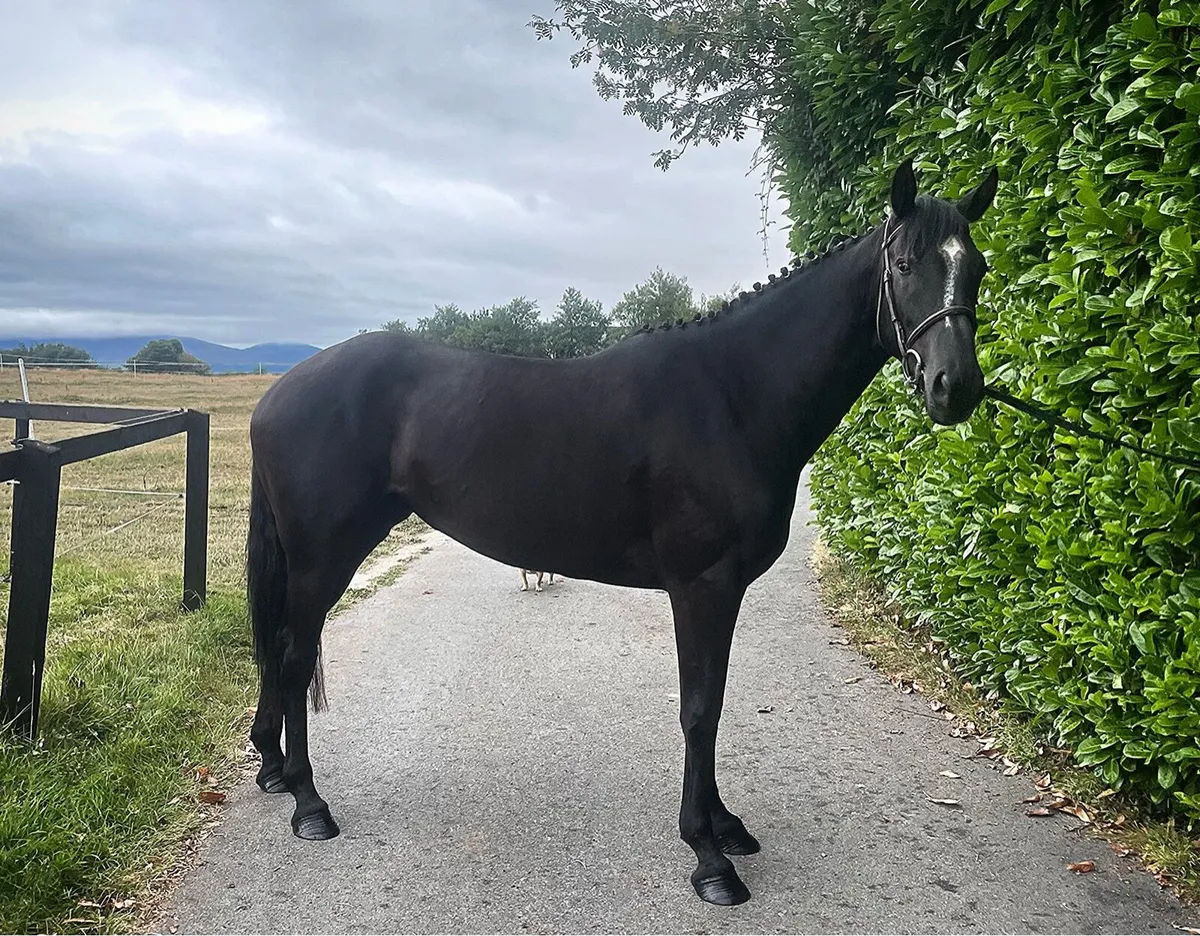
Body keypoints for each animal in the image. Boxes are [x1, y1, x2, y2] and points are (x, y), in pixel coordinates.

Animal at [245, 159, 998, 906]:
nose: (955, 387)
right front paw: (708, 856)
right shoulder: (701, 587)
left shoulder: (719, 592)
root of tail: (277, 393)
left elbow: (713, 703)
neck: (732, 396)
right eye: (903, 263)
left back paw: (275, 770)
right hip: (321, 562)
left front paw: (725, 826)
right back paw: (309, 804)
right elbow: (699, 709)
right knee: (291, 656)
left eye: (979, 267)